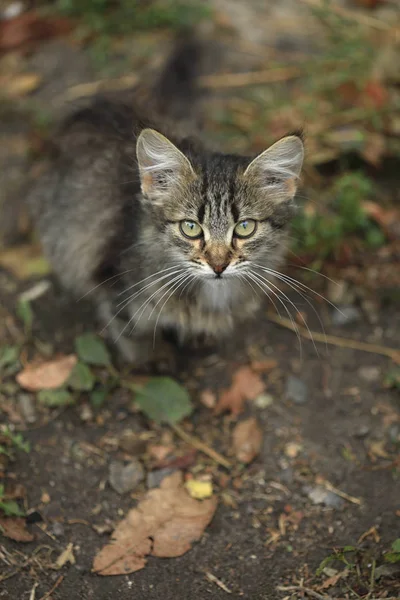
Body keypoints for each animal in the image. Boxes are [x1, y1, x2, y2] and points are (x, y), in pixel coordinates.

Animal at [28, 36, 304, 366]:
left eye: (245, 227)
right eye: (190, 228)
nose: (219, 266)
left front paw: (199, 339)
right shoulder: (112, 285)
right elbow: (132, 336)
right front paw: (150, 361)